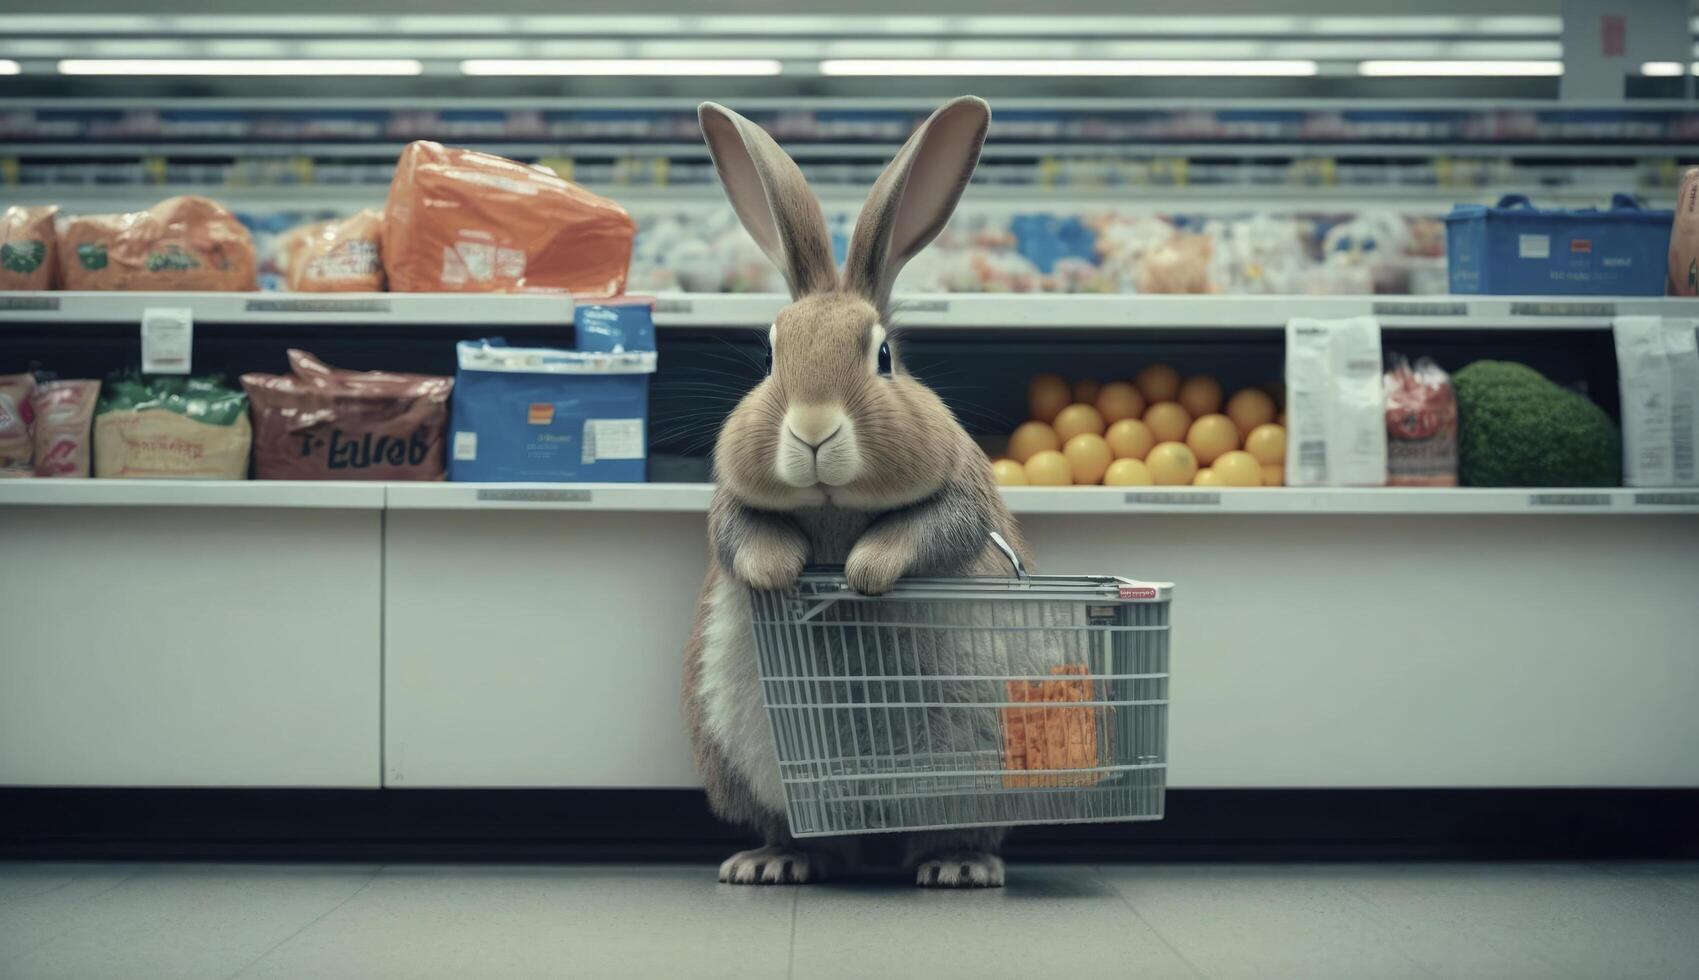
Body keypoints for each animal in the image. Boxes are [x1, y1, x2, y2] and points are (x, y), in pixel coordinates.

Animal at [679, 97, 1032, 883]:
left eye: (884, 356)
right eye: (769, 355)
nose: (812, 430)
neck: (832, 509)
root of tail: (873, 833)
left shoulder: (961, 498)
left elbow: (928, 532)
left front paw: (861, 572)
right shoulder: (729, 506)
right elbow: (741, 537)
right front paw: (779, 573)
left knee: (958, 831)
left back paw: (958, 866)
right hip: (740, 765)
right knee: (797, 833)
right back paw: (771, 863)